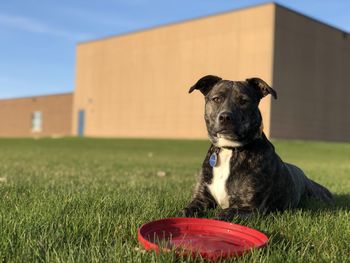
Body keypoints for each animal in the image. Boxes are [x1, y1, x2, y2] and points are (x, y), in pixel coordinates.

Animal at [183, 75, 334, 222]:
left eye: (244, 101)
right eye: (216, 99)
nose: (225, 117)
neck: (230, 149)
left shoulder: (250, 208)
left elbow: (222, 215)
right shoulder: (201, 198)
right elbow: (186, 211)